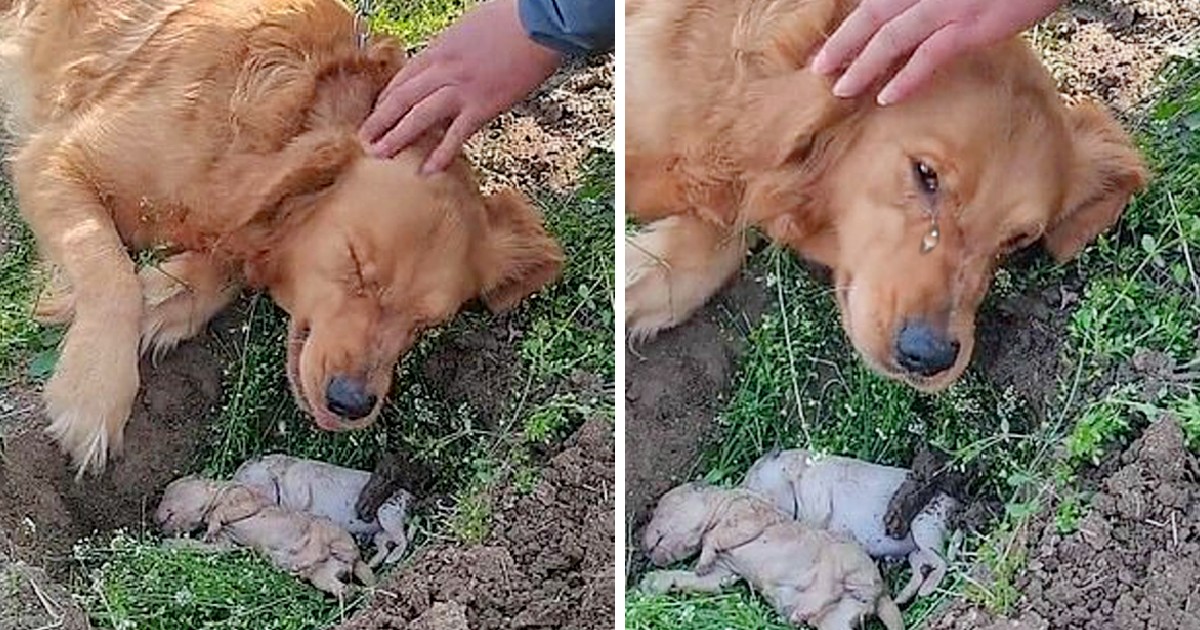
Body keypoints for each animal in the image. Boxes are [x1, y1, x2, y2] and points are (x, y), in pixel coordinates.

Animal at [1, 0, 561, 470]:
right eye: (355, 265)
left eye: (427, 324)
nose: (351, 403)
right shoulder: (52, 157)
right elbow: (110, 269)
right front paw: (93, 392)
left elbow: (220, 260)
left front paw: (164, 295)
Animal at [231, 453, 415, 566]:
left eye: (244, 479)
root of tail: (409, 497)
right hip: (381, 531)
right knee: (385, 544)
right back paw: (373, 562)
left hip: (388, 513)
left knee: (403, 539)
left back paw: (391, 559)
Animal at [739, 446, 955, 604]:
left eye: (754, 480)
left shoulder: (816, 503)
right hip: (915, 550)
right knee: (922, 568)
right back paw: (902, 598)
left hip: (925, 527)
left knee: (943, 561)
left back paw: (926, 591)